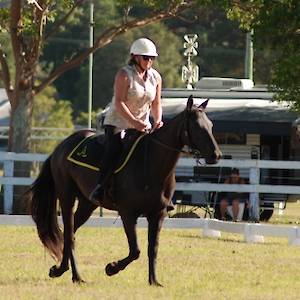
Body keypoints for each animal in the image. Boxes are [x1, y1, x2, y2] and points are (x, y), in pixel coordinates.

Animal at [27, 96, 221, 286]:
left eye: (211, 126)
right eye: (197, 127)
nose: (216, 155)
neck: (151, 165)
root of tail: (61, 146)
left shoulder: (158, 214)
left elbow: (153, 248)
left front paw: (154, 281)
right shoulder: (128, 213)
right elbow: (135, 250)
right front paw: (111, 268)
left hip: (87, 204)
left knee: (71, 232)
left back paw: (64, 271)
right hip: (66, 197)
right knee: (68, 234)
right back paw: (72, 275)